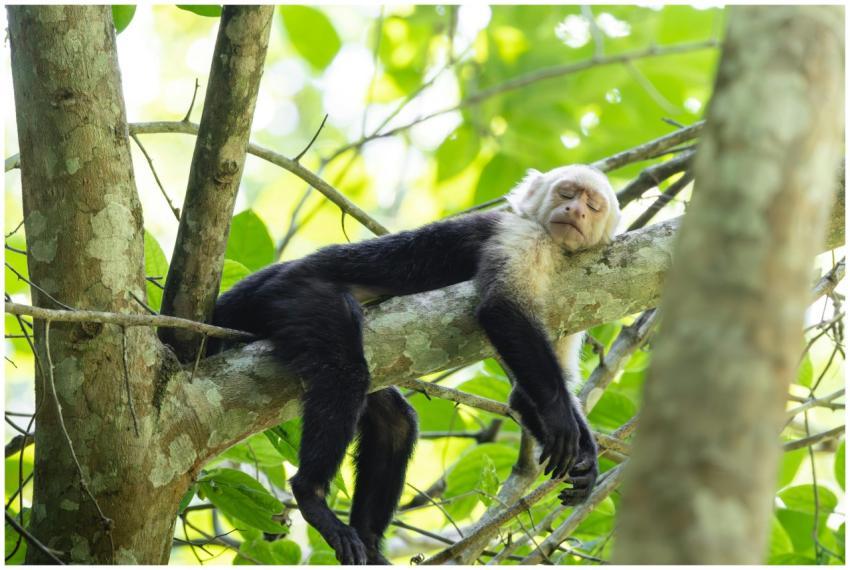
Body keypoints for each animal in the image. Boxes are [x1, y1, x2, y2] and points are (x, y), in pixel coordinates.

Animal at [209, 164, 621, 565]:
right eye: (567, 192)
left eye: (593, 205)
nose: (575, 210)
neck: (558, 251)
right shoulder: (521, 236)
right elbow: (500, 309)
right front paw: (561, 418)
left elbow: (522, 396)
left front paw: (585, 460)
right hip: (296, 294)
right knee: (345, 371)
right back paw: (311, 496)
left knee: (395, 420)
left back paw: (369, 541)